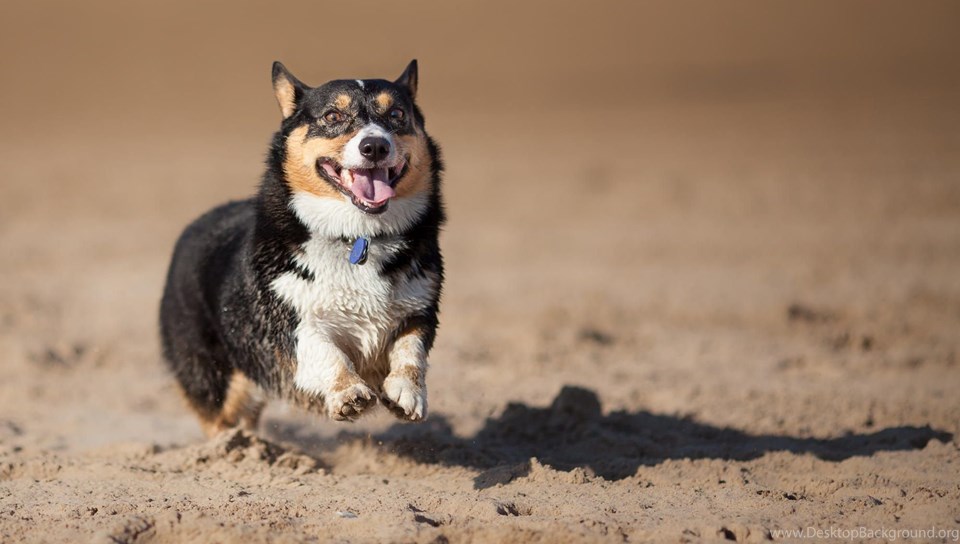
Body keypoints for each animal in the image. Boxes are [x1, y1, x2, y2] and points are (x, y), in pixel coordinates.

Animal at [159, 60, 444, 436]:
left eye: (397, 114)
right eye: (333, 115)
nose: (375, 146)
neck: (357, 237)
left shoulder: (419, 310)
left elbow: (411, 352)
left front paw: (407, 394)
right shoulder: (291, 320)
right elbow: (326, 352)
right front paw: (348, 393)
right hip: (215, 378)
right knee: (220, 418)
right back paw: (232, 447)